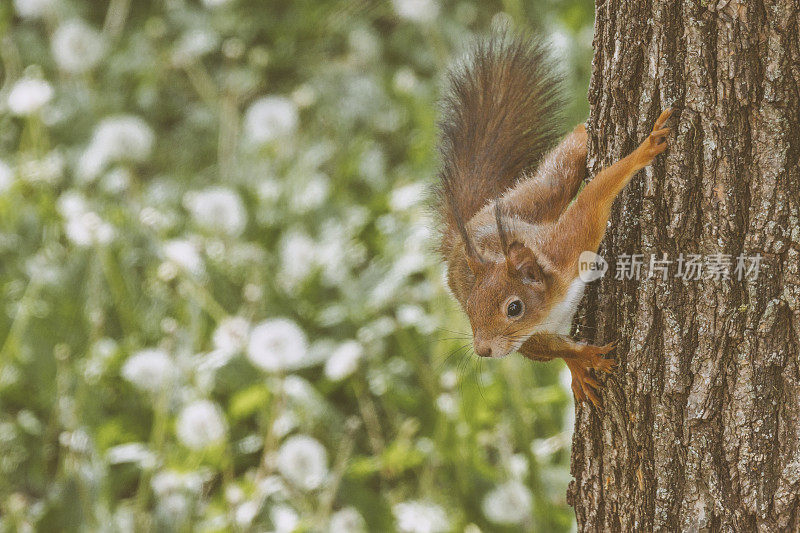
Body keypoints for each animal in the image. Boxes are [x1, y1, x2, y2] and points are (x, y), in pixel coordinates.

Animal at [434, 35, 672, 406]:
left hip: (534, 199)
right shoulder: (529, 338)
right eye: (469, 307)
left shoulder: (569, 247)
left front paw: (644, 149)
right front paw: (583, 358)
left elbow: (593, 199)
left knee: (559, 174)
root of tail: (467, 230)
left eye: (514, 308)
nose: (483, 350)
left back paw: (585, 132)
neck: (551, 302)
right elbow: (554, 350)